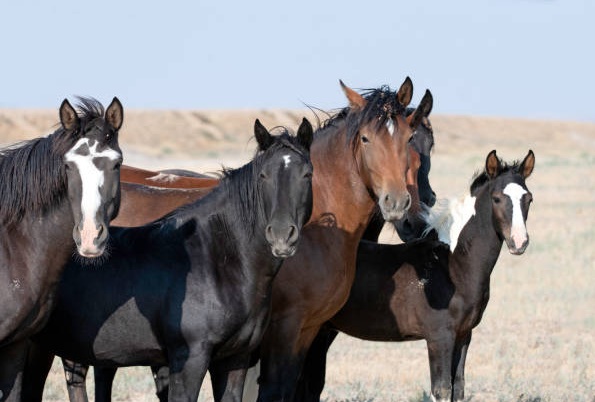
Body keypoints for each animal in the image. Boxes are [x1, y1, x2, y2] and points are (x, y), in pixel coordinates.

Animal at [26, 118, 316, 400]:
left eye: (307, 174)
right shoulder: (188, 361)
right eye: (263, 176)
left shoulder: (235, 360)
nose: (281, 235)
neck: (216, 258)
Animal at [294, 149, 536, 402]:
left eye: (528, 199)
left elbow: (458, 388)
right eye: (497, 198)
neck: (452, 265)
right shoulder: (439, 338)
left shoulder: (464, 336)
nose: (519, 242)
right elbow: (441, 389)